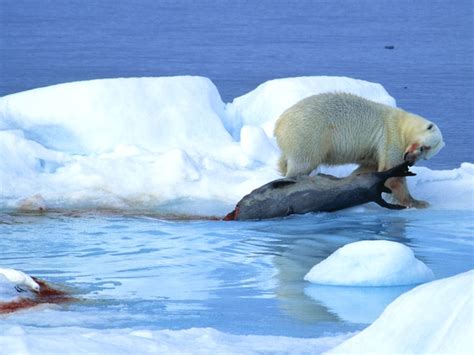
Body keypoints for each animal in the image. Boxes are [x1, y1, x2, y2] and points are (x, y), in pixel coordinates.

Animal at [274, 93, 444, 209]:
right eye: (423, 147)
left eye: (426, 156)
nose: (410, 161)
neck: (403, 123)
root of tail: (279, 123)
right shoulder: (391, 137)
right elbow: (392, 174)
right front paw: (418, 202)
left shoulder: (374, 152)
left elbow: (367, 170)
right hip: (308, 133)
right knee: (303, 162)